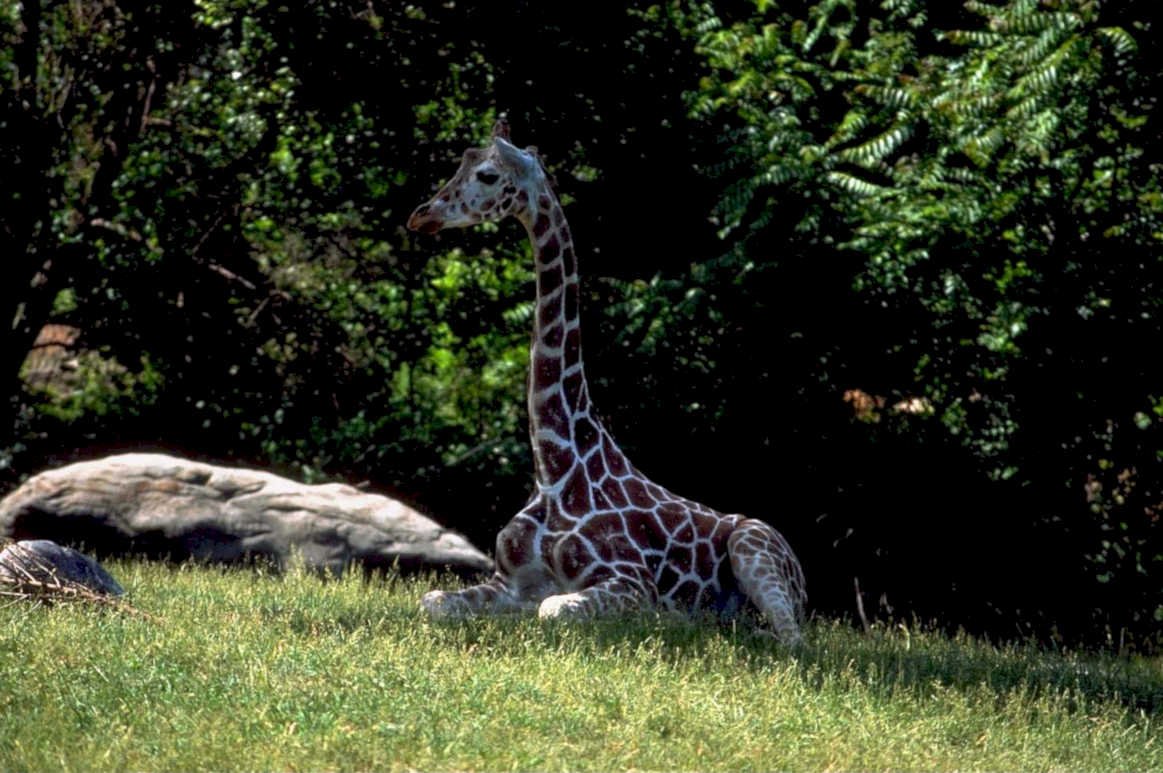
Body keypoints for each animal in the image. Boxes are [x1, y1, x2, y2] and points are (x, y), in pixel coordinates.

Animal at [407, 120, 807, 643]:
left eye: (489, 175)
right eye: (462, 162)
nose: (422, 216)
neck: (554, 469)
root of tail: (803, 578)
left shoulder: (630, 580)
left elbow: (553, 610)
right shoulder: (508, 581)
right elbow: (434, 602)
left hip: (753, 543)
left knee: (793, 637)